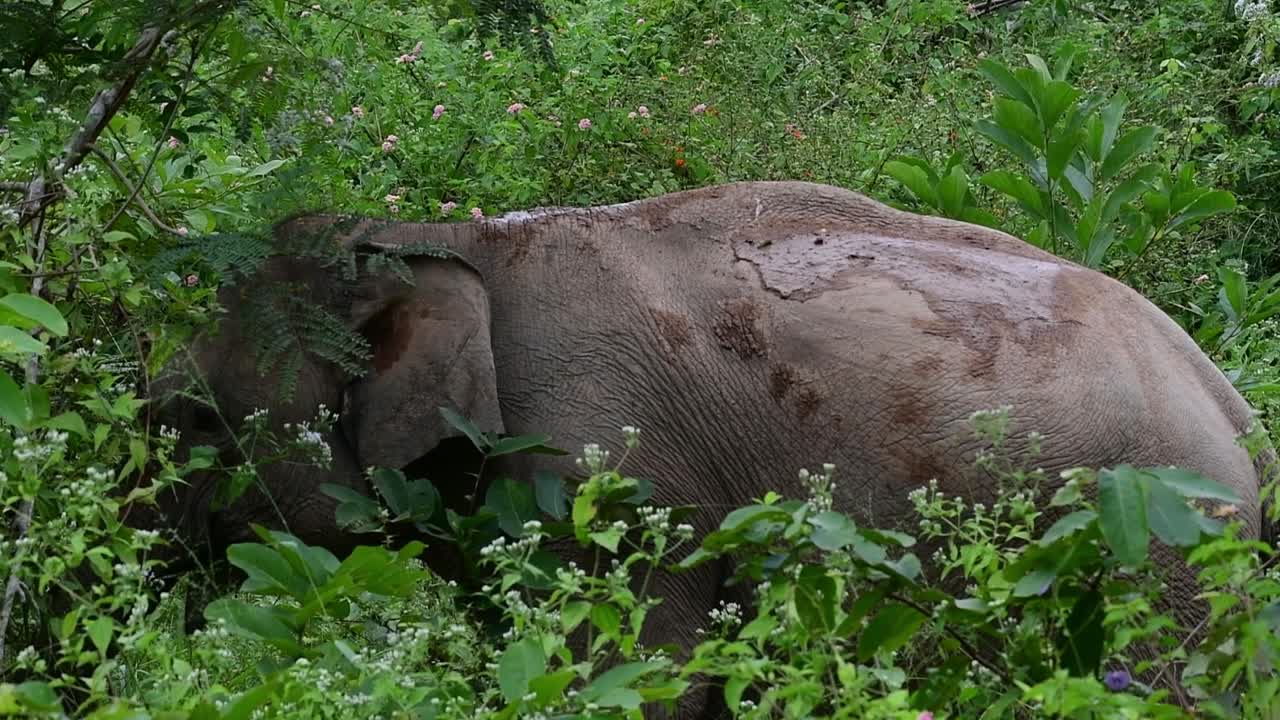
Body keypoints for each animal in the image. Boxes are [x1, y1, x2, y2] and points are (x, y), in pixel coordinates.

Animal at [139, 180, 1271, 717]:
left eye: (187, 417)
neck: (448, 235)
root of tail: (1231, 406)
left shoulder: (607, 464)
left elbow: (641, 674)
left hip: (1157, 552)